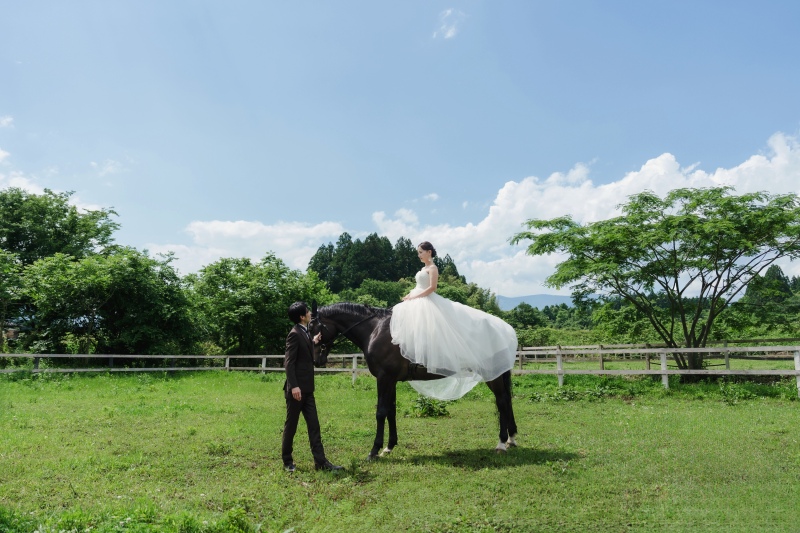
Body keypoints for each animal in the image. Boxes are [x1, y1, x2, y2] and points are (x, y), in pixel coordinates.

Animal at [309, 302, 518, 460]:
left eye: (313, 328)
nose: (316, 360)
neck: (376, 330)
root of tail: (503, 329)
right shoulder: (391, 380)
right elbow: (391, 411)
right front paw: (389, 446)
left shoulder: (384, 379)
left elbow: (381, 412)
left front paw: (374, 450)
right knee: (507, 401)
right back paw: (511, 438)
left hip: (493, 376)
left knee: (502, 402)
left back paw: (501, 443)